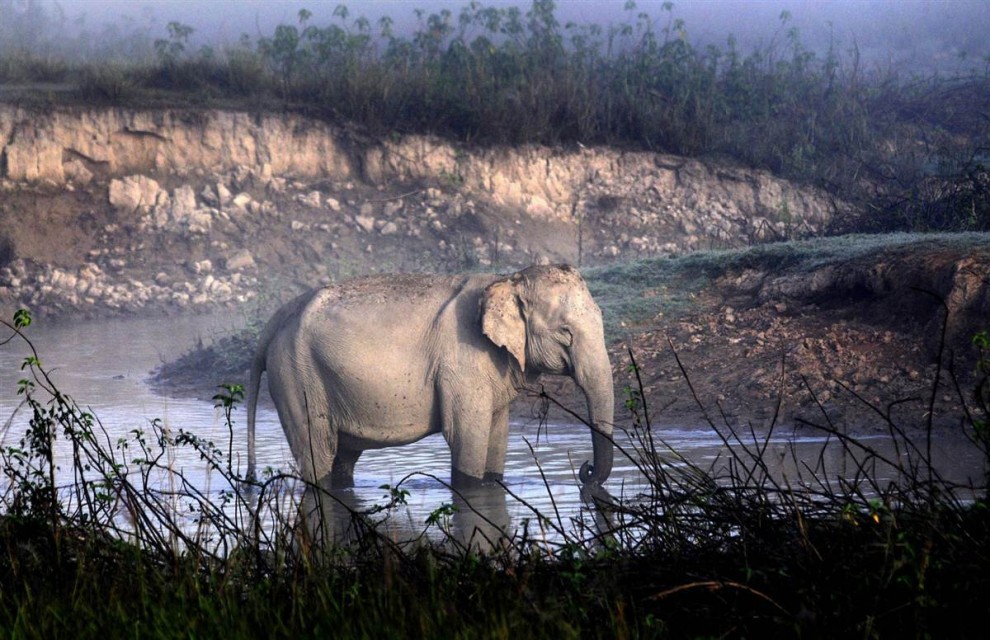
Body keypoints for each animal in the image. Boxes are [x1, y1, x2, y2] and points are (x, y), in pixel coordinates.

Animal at [245, 262, 616, 536]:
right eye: (566, 333)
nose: (585, 470)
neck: (506, 280)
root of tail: (276, 320)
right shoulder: (464, 364)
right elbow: (466, 440)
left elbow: (496, 439)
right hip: (297, 377)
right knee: (317, 455)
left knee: (342, 458)